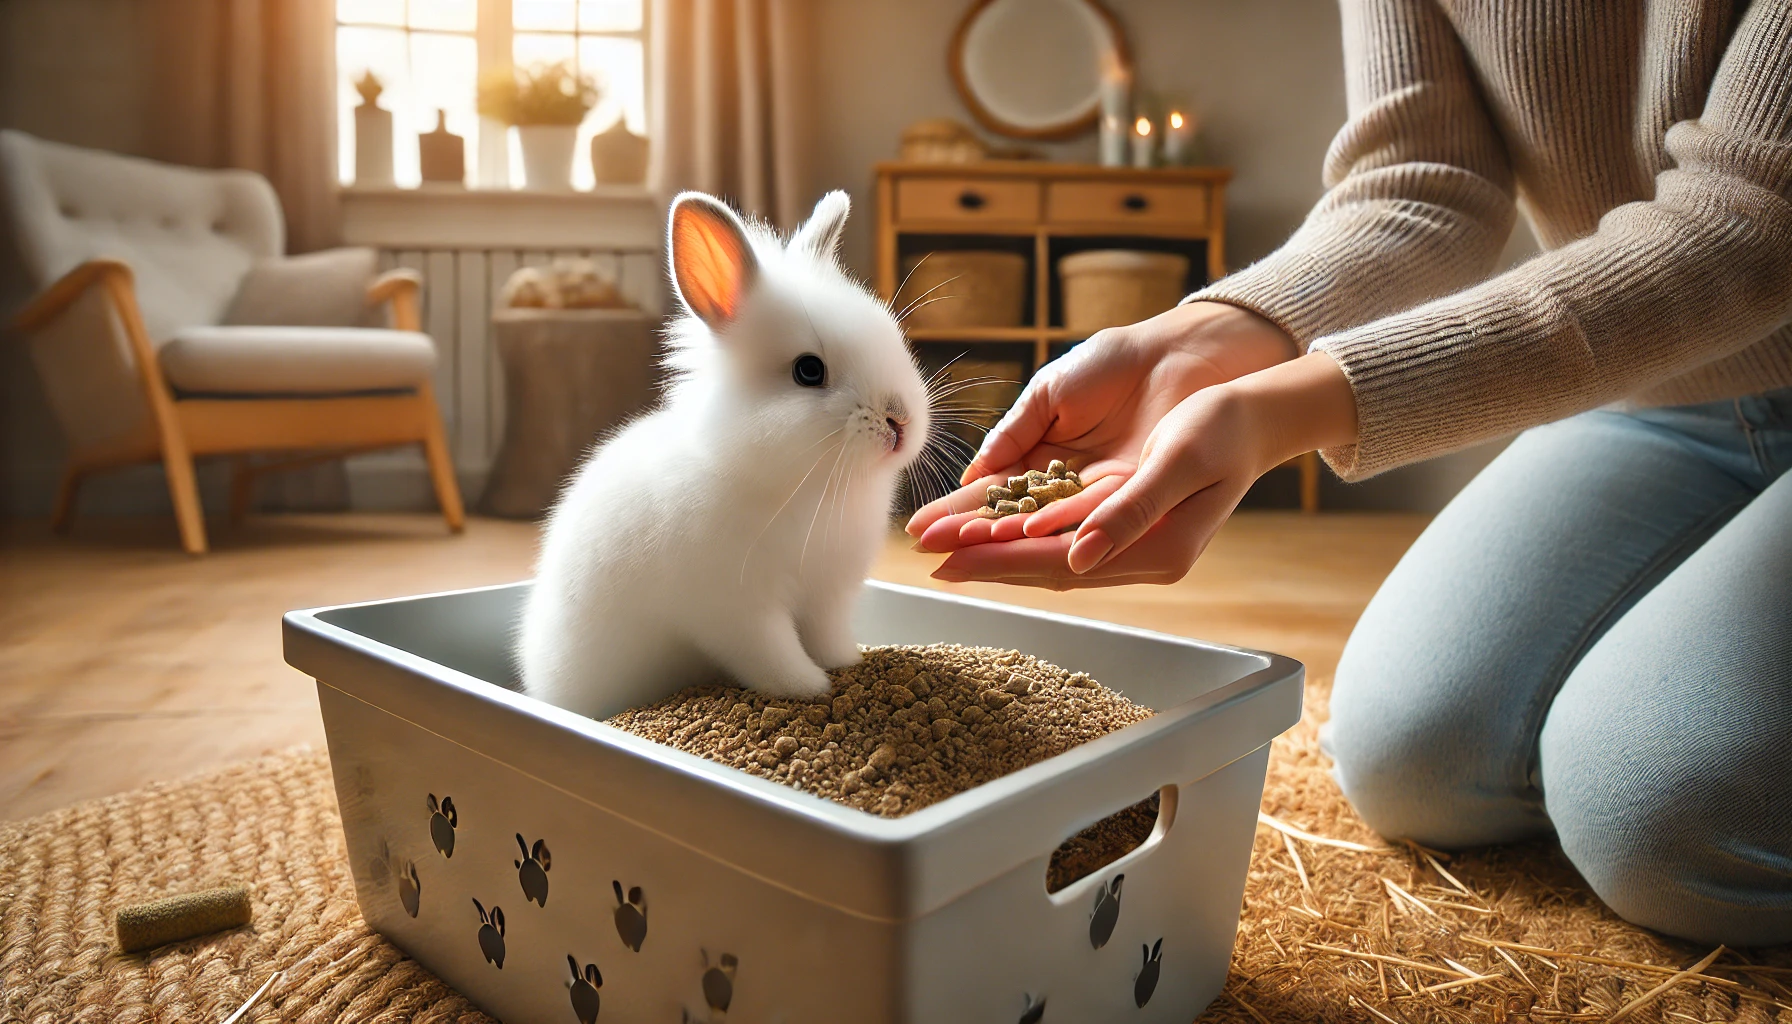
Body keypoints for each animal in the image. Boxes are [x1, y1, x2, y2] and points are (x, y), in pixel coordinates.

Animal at [516, 191, 924, 720]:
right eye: (808, 371)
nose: (900, 421)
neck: (805, 486)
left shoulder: (828, 595)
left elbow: (828, 637)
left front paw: (845, 665)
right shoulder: (737, 610)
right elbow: (773, 654)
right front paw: (810, 688)